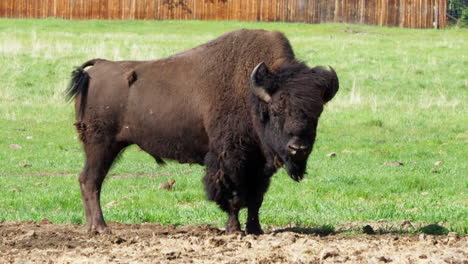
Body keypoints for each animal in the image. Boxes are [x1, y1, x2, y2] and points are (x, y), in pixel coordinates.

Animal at [66, 29, 338, 235]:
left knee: (88, 180)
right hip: (101, 145)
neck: (253, 95)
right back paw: (101, 228)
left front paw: (256, 230)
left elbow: (255, 199)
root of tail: (96, 68)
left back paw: (93, 227)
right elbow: (234, 197)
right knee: (91, 180)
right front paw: (233, 230)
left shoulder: (259, 165)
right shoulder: (230, 161)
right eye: (277, 110)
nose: (298, 148)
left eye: (316, 112)